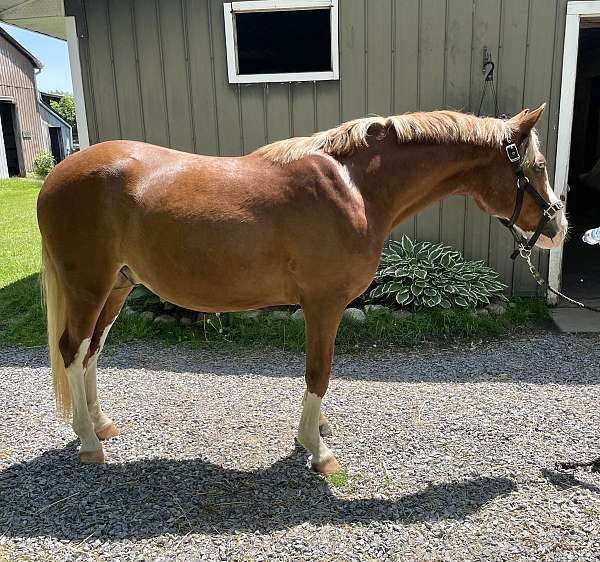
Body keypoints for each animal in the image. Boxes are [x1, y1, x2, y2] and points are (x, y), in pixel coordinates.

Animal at [37, 103, 568, 470]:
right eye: (539, 166)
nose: (559, 227)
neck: (355, 189)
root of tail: (57, 175)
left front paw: (315, 432)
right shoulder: (324, 304)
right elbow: (319, 372)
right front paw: (317, 448)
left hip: (118, 287)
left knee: (91, 351)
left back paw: (102, 426)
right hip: (89, 286)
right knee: (72, 349)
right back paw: (88, 442)